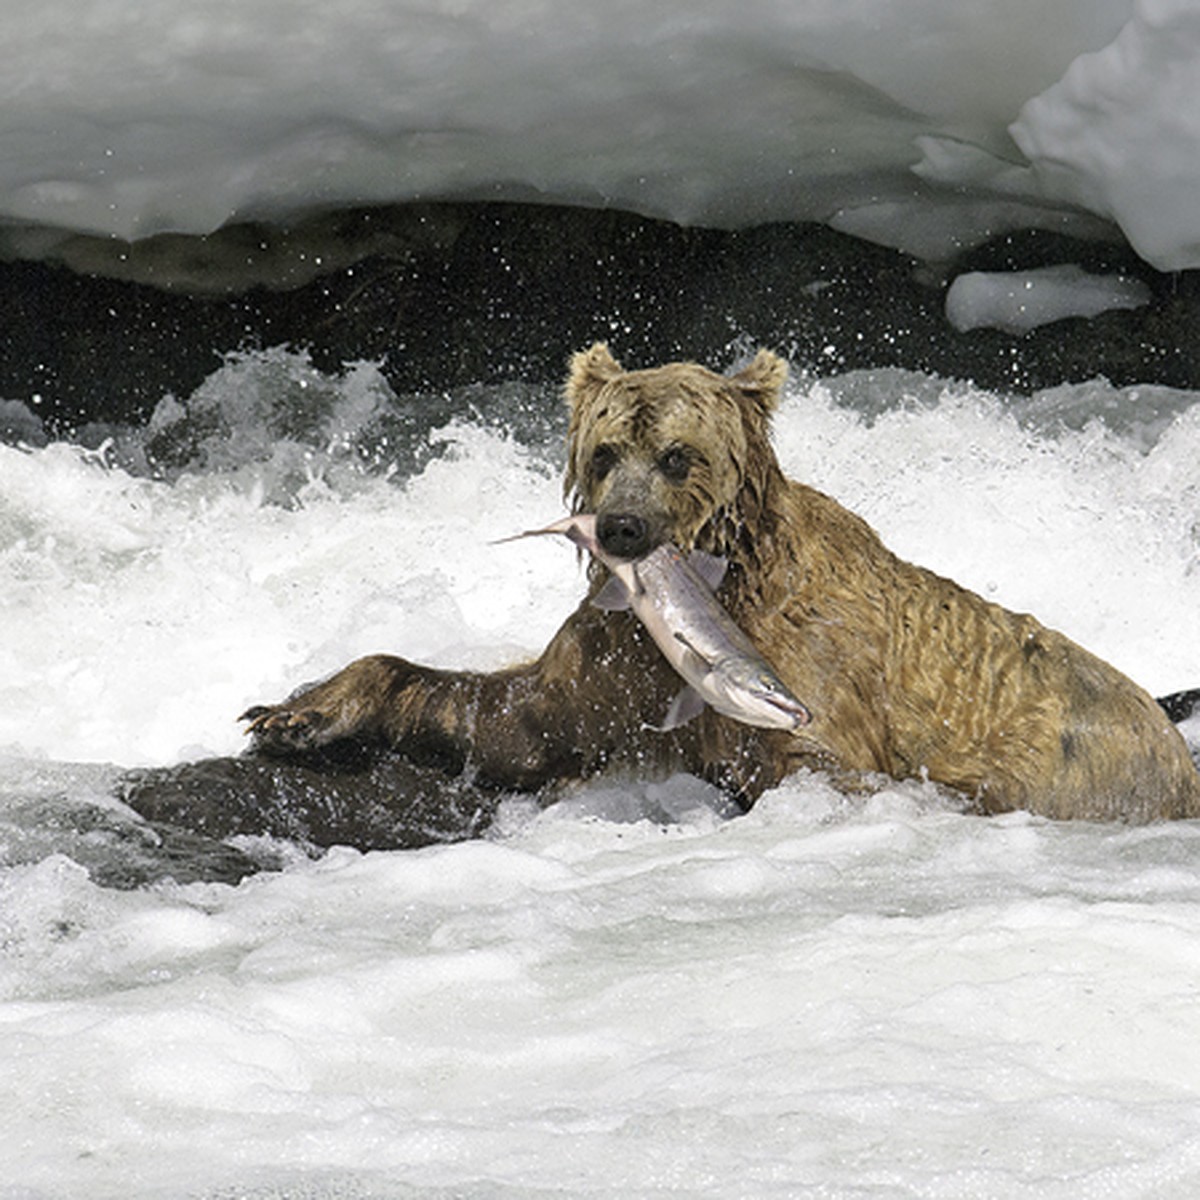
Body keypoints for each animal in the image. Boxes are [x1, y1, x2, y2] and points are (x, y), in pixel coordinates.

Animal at [241, 343, 1200, 820]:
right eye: (604, 452)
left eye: (677, 455)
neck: (717, 578)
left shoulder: (808, 662)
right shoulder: (616, 655)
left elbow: (823, 764)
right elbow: (517, 720)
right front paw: (295, 711)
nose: (622, 528)